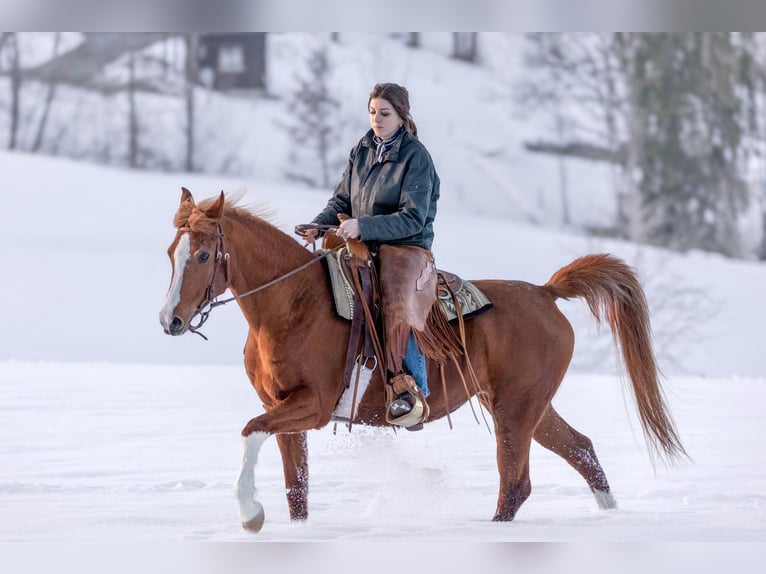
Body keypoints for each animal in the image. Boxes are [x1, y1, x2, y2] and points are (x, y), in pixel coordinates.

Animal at [159, 188, 686, 532]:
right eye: (171, 252)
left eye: (203, 255)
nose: (171, 320)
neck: (294, 304)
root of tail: (545, 292)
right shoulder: (283, 409)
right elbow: (296, 490)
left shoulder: (312, 405)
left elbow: (250, 432)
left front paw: (249, 514)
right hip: (527, 406)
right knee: (582, 450)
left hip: (515, 412)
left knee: (516, 483)